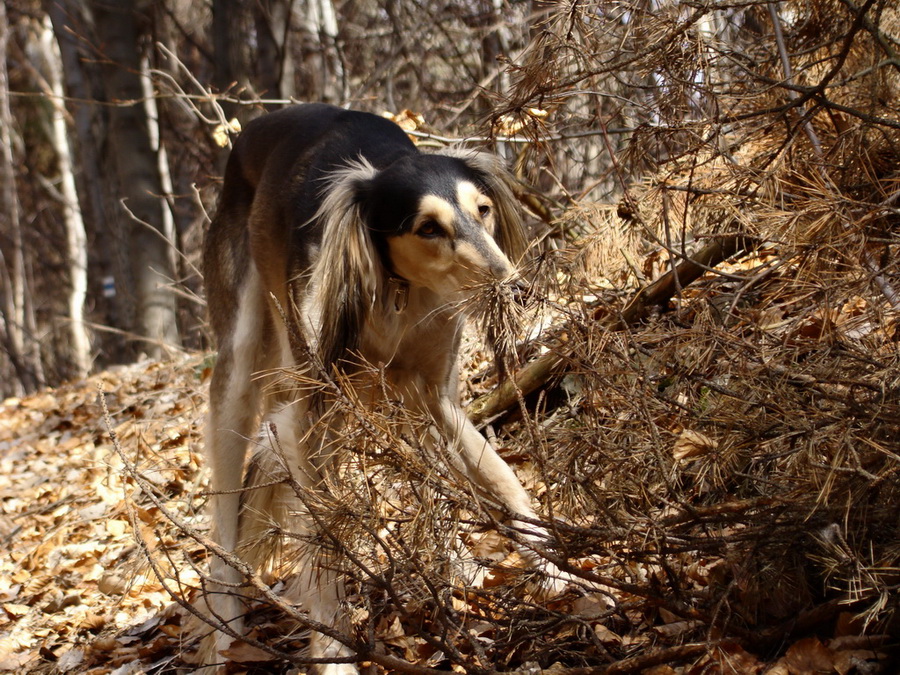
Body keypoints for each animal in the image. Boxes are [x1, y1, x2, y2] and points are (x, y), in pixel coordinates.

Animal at [203, 103, 568, 672]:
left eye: (483, 209)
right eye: (427, 228)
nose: (517, 291)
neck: (399, 291)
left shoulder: (436, 397)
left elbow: (502, 475)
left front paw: (558, 571)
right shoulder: (310, 416)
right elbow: (327, 540)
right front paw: (333, 653)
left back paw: (458, 566)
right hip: (242, 363)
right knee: (224, 523)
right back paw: (227, 630)